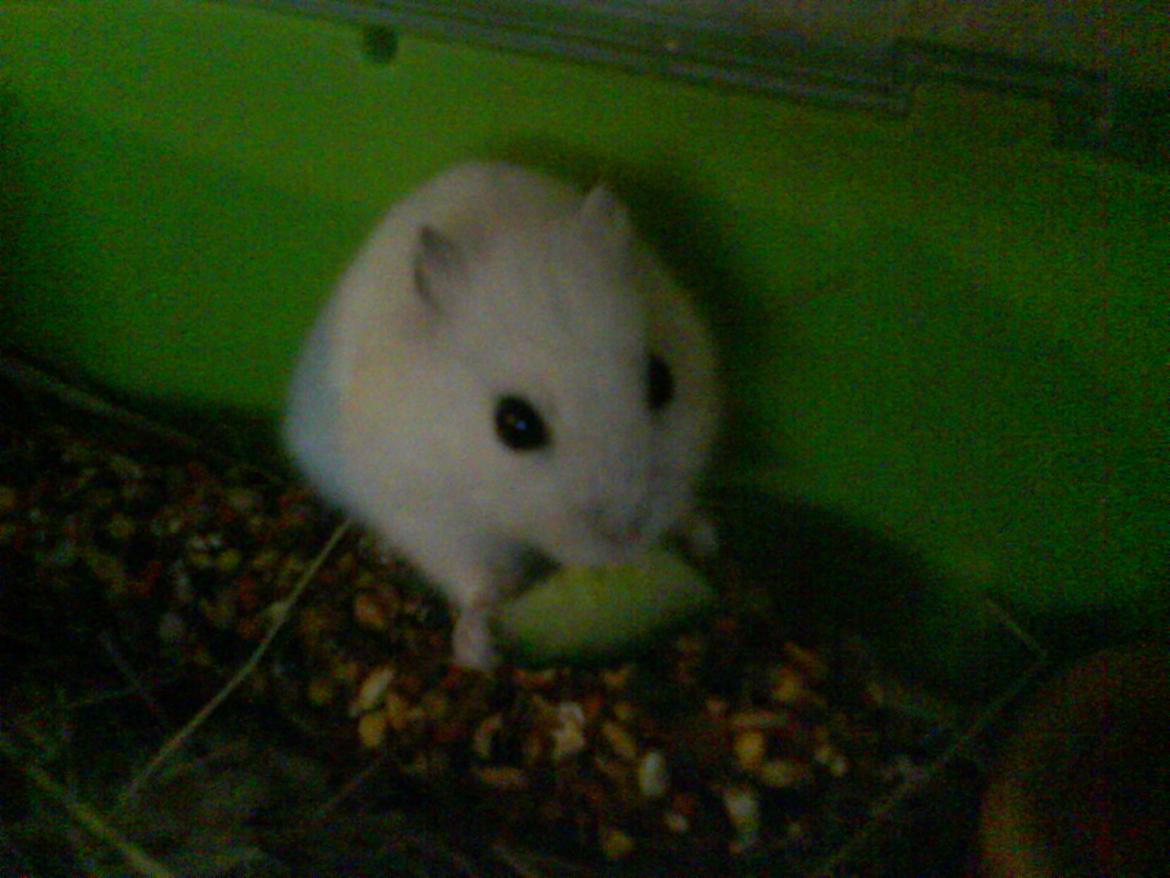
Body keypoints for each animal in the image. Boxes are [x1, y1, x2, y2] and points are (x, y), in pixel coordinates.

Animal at [283, 161, 719, 669]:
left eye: (661, 380)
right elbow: (474, 578)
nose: (624, 540)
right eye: (515, 425)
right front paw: (480, 651)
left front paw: (705, 537)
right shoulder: (432, 514)